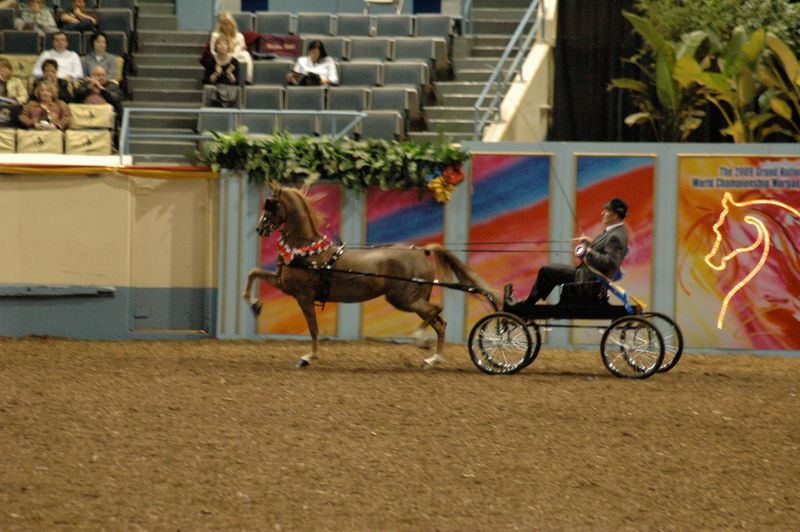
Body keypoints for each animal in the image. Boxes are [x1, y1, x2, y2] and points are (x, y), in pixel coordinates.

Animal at [242, 181, 494, 368]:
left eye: (271, 205)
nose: (259, 228)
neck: (307, 252)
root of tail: (421, 251)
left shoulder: (303, 296)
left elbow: (313, 328)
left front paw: (308, 357)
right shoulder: (283, 284)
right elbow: (254, 272)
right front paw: (254, 304)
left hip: (404, 299)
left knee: (436, 311)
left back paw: (420, 339)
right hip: (413, 299)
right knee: (440, 323)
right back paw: (433, 358)